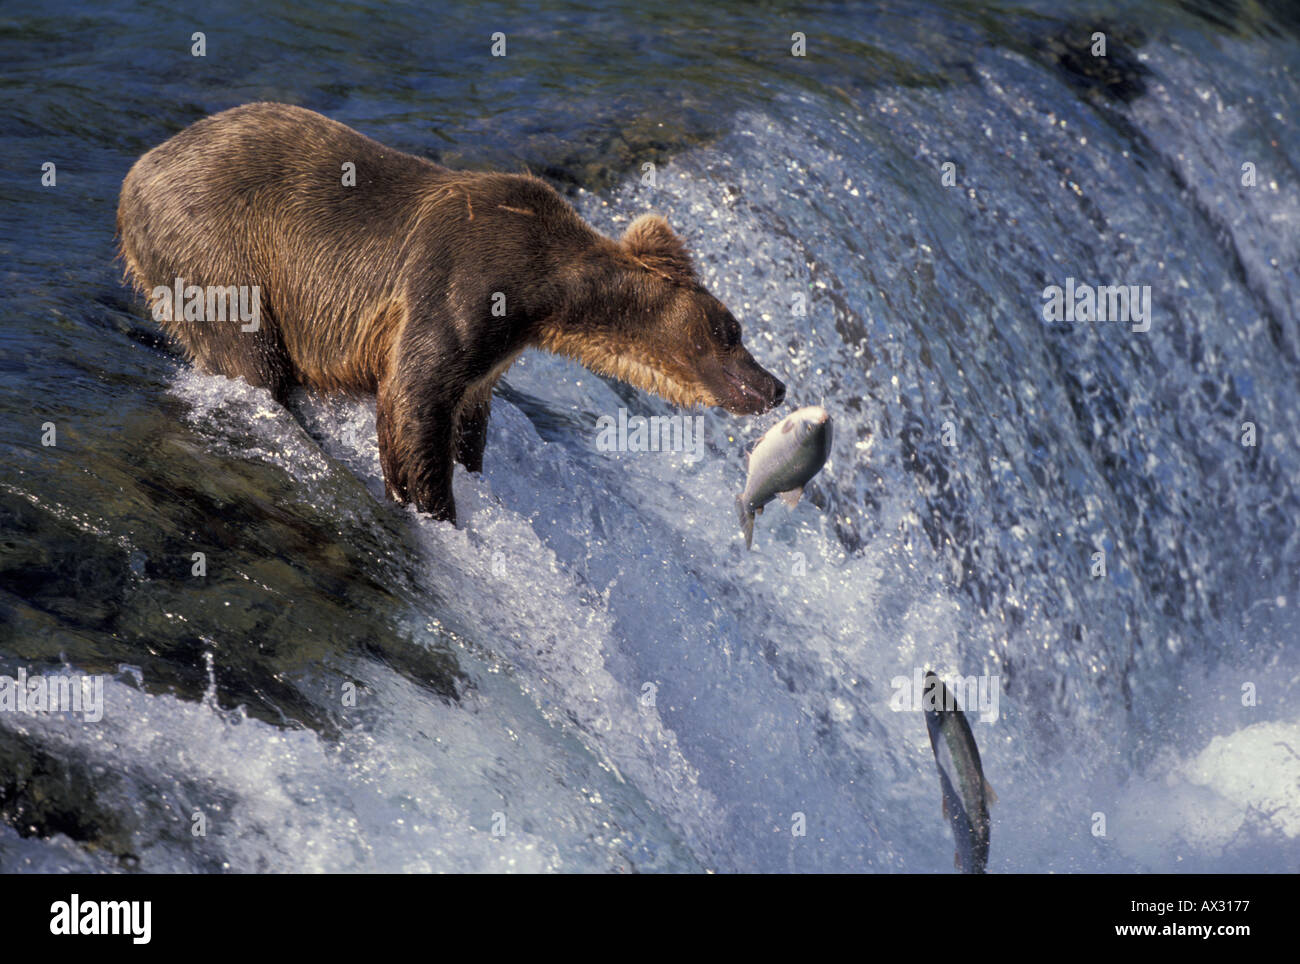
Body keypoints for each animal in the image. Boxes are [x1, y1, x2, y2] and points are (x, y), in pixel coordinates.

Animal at [122, 103, 785, 522]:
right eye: (732, 331)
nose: (774, 386)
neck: (546, 293)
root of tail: (138, 170)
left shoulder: (496, 351)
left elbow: (466, 412)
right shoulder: (462, 283)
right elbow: (415, 395)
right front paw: (433, 506)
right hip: (218, 247)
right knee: (252, 356)